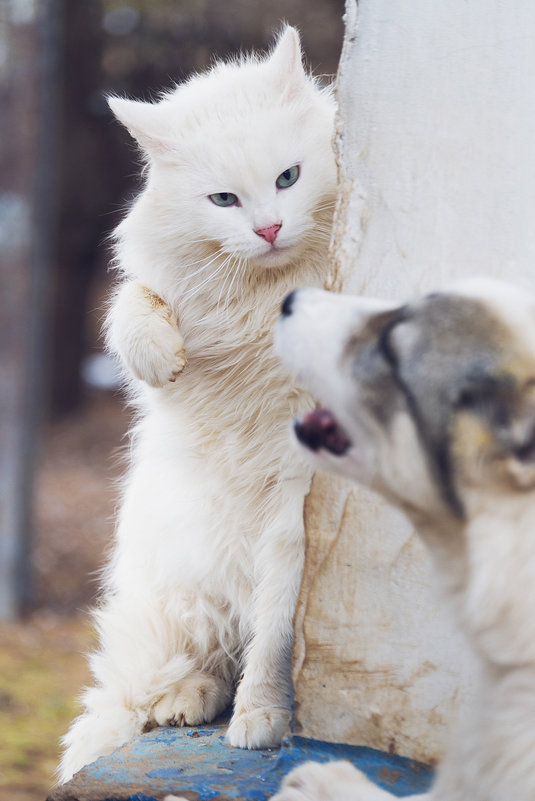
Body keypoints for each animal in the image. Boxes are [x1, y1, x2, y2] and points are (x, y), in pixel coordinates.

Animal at [60, 26, 338, 780]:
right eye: (223, 200)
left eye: (287, 179)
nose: (268, 230)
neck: (261, 298)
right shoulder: (153, 289)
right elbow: (133, 308)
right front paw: (163, 358)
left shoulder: (290, 520)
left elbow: (274, 643)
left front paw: (262, 723)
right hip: (184, 592)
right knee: (195, 663)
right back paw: (184, 701)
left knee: (246, 643)